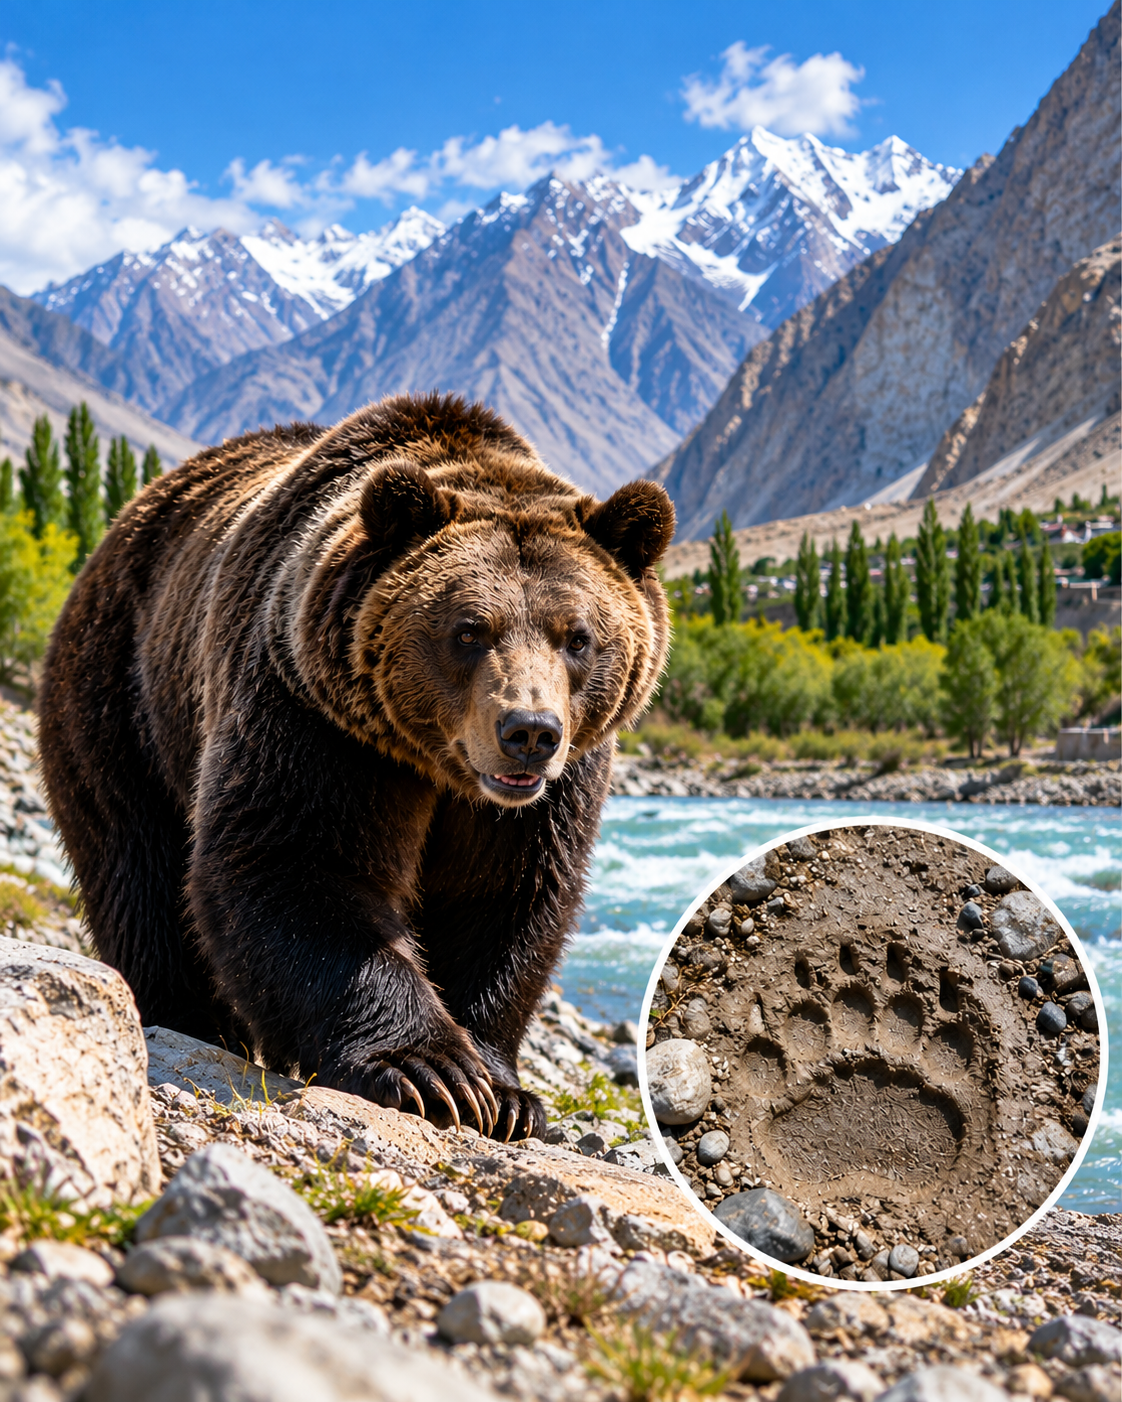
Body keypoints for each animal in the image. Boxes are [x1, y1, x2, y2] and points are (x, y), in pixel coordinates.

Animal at [38, 393, 673, 1141]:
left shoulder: (553, 789)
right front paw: (431, 1071)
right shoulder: (316, 720)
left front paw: (506, 1093)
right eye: (469, 630)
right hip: (122, 692)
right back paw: (192, 1020)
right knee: (138, 863)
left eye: (578, 637)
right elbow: (298, 863)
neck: (436, 764)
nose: (529, 732)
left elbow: (505, 898)